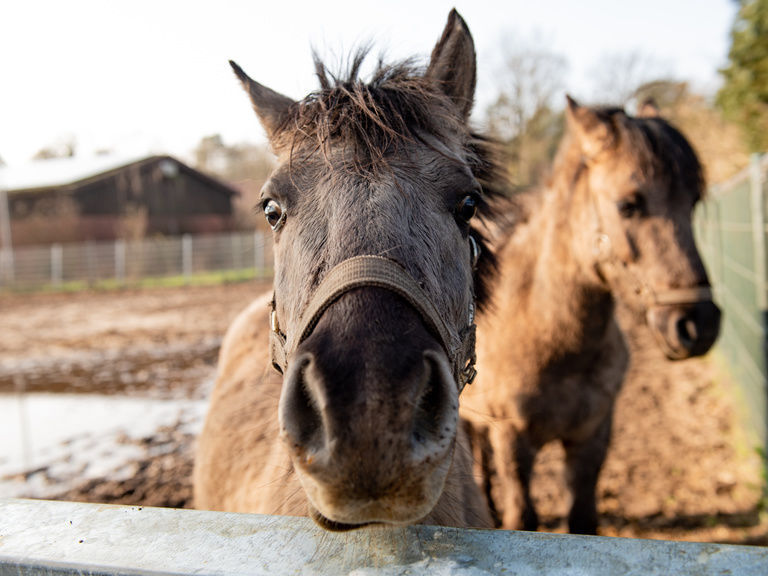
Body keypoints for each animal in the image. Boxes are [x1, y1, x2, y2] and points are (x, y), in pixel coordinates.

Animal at [461, 97, 722, 535]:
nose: (697, 325)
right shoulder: (512, 440)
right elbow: (522, 517)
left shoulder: (591, 439)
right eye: (628, 205)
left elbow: (582, 521)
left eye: (693, 201)